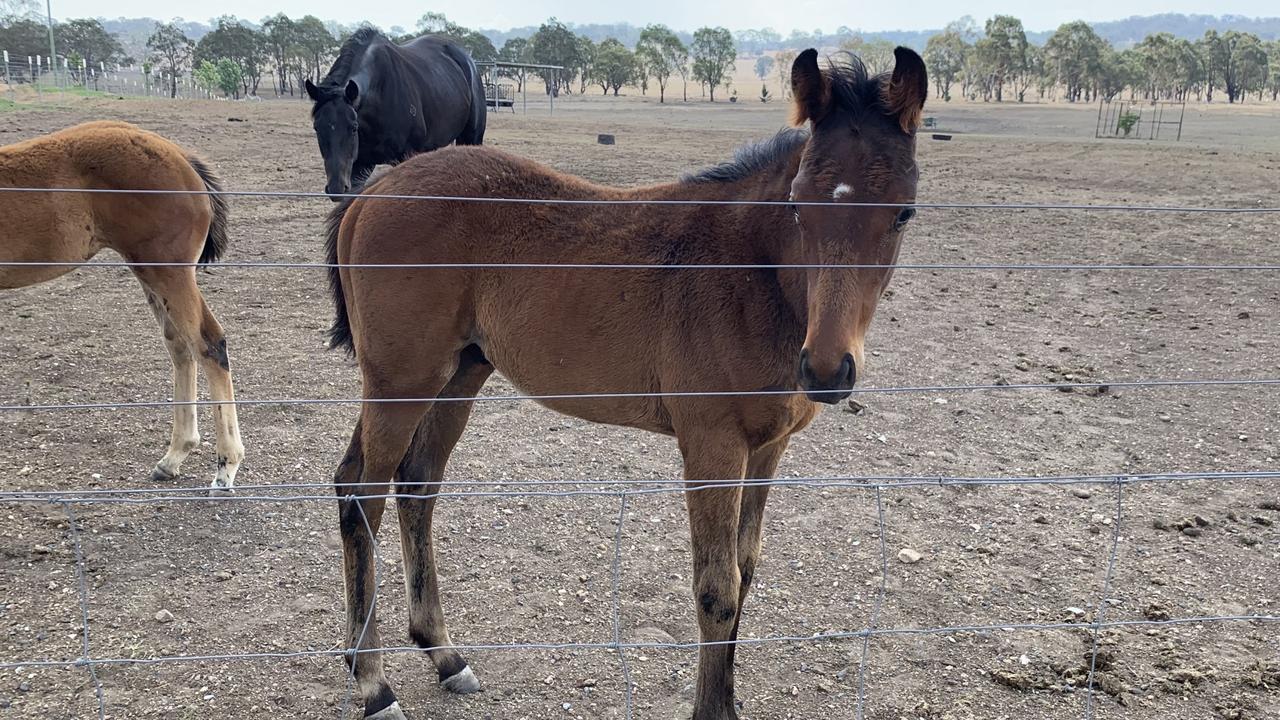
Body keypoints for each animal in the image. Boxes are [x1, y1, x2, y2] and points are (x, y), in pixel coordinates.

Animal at [0, 120, 243, 489]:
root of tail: (182, 158)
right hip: (151, 272)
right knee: (180, 347)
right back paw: (173, 457)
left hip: (168, 271)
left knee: (208, 343)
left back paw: (225, 467)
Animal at [327, 47, 931, 712]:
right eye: (798, 204)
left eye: (903, 213)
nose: (826, 369)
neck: (749, 272)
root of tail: (372, 190)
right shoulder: (712, 444)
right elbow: (717, 589)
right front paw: (712, 709)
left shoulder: (768, 448)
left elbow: (745, 572)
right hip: (400, 381)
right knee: (361, 493)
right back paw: (373, 681)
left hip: (458, 375)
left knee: (414, 485)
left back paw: (443, 654)